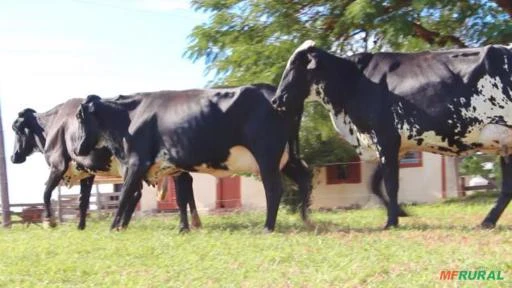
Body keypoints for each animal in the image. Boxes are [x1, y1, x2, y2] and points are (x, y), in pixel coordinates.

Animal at [11, 100, 201, 231]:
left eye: (17, 129)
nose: (13, 157)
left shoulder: (58, 165)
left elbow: (46, 193)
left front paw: (49, 222)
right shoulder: (87, 172)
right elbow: (83, 200)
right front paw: (80, 227)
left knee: (140, 192)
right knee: (185, 184)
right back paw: (193, 223)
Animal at [72, 84, 312, 232]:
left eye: (79, 117)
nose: (76, 148)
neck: (131, 116)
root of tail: (275, 93)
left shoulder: (136, 162)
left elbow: (124, 196)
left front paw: (113, 228)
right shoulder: (175, 167)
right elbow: (181, 198)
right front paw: (184, 229)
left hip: (267, 156)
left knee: (274, 189)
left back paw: (268, 227)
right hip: (287, 158)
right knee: (304, 177)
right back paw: (305, 218)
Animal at [274, 40, 512, 230]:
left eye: (295, 65)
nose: (277, 99)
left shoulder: (385, 138)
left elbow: (390, 183)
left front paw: (391, 222)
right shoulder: (393, 145)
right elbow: (375, 183)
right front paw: (400, 213)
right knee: (507, 188)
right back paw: (487, 221)